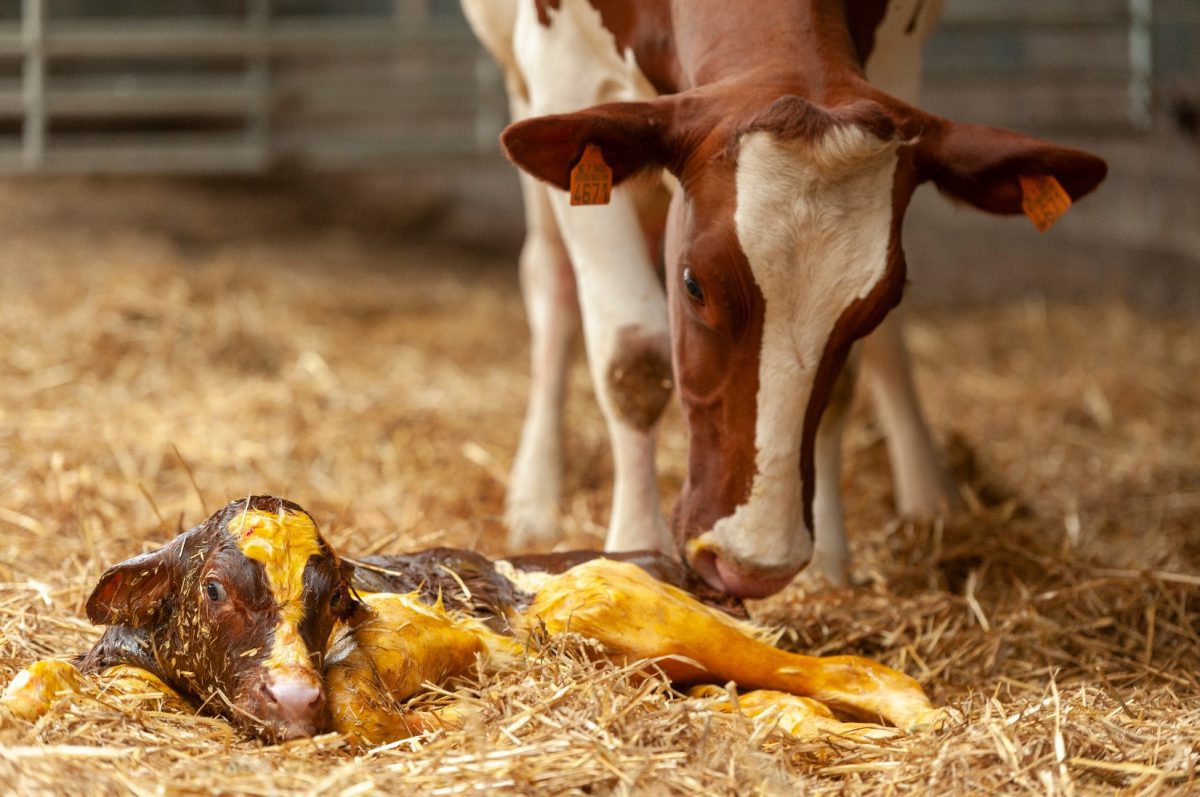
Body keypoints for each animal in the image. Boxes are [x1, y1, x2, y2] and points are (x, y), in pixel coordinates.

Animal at [7, 494, 945, 744]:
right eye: (212, 590)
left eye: (329, 600)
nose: (291, 700)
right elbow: (42, 676)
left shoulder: (387, 645)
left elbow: (363, 708)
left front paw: (457, 714)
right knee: (775, 703)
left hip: (622, 607)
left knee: (836, 671)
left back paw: (922, 718)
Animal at [460, 0, 1104, 597]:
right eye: (693, 283)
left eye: (882, 302)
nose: (748, 568)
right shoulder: (562, 67)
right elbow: (632, 359)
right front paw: (633, 549)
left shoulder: (897, 59)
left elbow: (845, 384)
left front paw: (830, 568)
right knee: (552, 279)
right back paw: (536, 495)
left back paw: (930, 492)